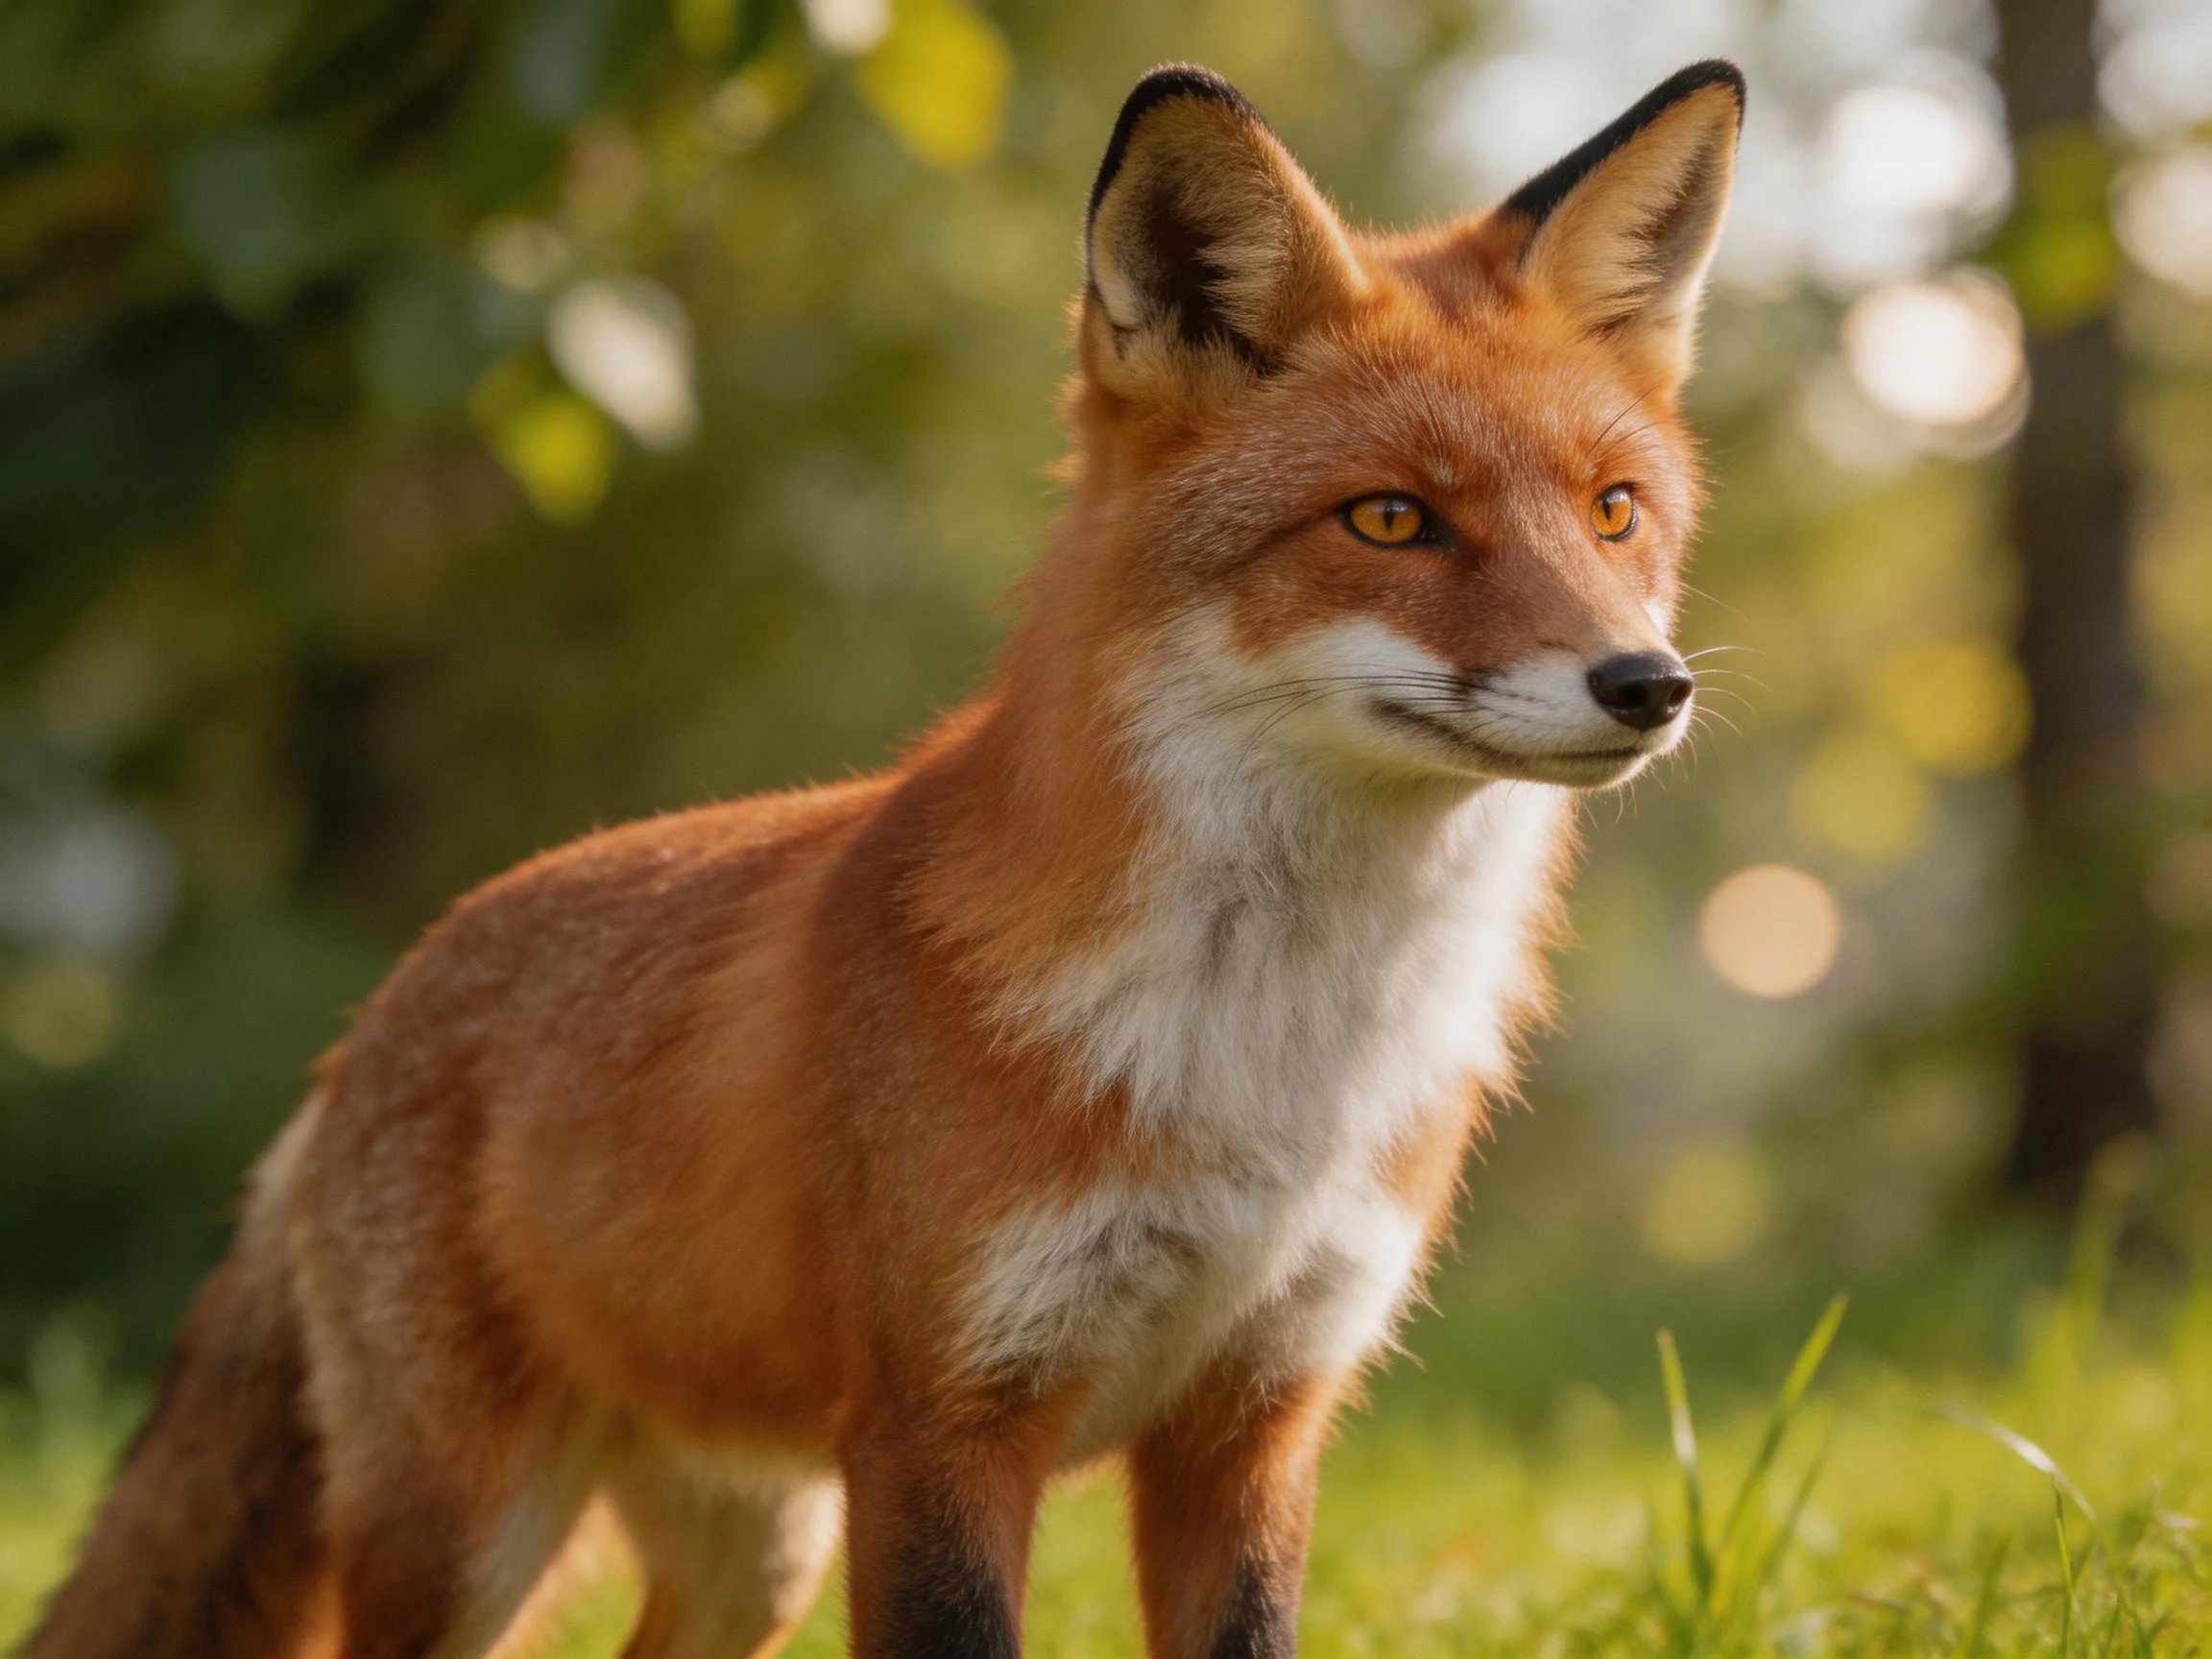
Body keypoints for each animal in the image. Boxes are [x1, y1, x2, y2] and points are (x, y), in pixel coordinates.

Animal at [25, 55, 1743, 1659]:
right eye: (1389, 520)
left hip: (751, 1550)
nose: (1646, 685)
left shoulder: (1254, 1421)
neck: (1271, 1055)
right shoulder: (938, 1425)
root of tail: (359, 1036)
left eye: (1614, 513)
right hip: (472, 1537)